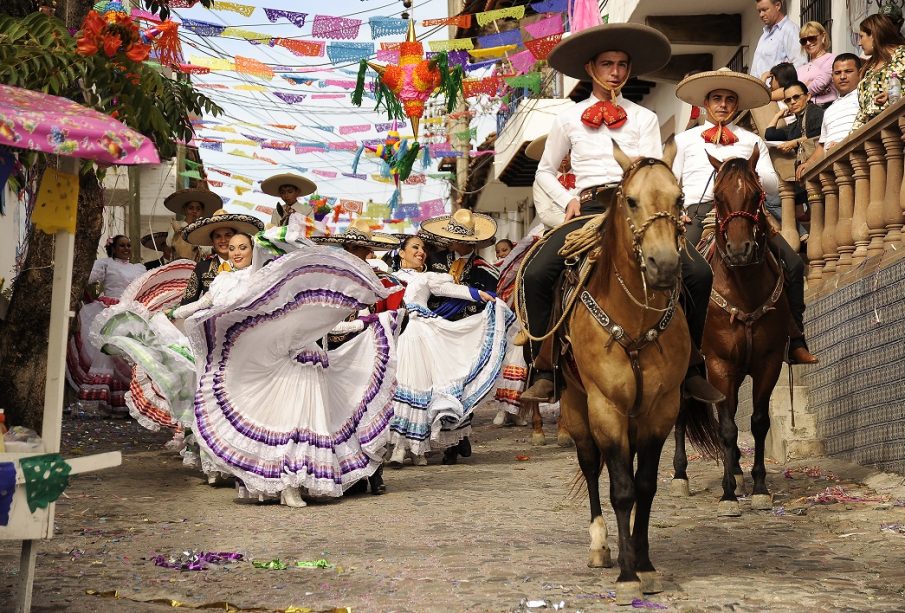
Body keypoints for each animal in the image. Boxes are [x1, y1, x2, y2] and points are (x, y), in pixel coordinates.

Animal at [556, 147, 720, 604]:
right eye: (631, 201)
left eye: (680, 199)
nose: (663, 265)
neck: (634, 317)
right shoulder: (606, 408)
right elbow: (621, 489)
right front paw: (628, 573)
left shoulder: (659, 409)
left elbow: (644, 485)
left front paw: (645, 565)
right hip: (576, 405)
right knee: (591, 466)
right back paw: (600, 546)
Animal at [672, 149, 792, 516]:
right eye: (719, 198)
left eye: (755, 194)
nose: (741, 251)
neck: (744, 288)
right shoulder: (719, 364)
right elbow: (726, 427)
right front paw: (727, 495)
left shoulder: (768, 363)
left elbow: (757, 422)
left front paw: (759, 488)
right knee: (680, 413)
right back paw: (680, 476)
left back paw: (737, 471)